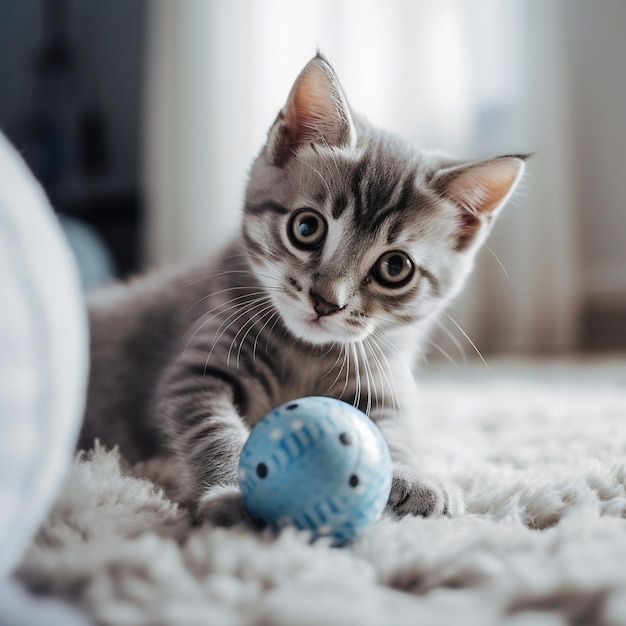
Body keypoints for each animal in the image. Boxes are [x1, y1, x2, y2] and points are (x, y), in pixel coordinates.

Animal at [80, 54, 524, 520]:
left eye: (395, 267)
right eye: (307, 227)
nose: (326, 302)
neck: (306, 353)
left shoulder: (382, 379)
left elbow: (395, 429)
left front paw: (412, 476)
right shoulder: (195, 371)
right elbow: (213, 429)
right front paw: (233, 492)